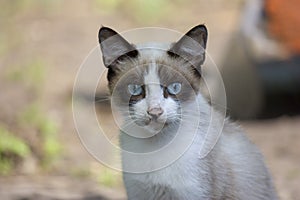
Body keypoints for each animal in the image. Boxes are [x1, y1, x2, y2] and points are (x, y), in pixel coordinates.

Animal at [97, 24, 278, 199]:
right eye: (135, 89)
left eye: (174, 87)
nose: (155, 111)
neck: (156, 145)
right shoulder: (139, 193)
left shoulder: (196, 194)